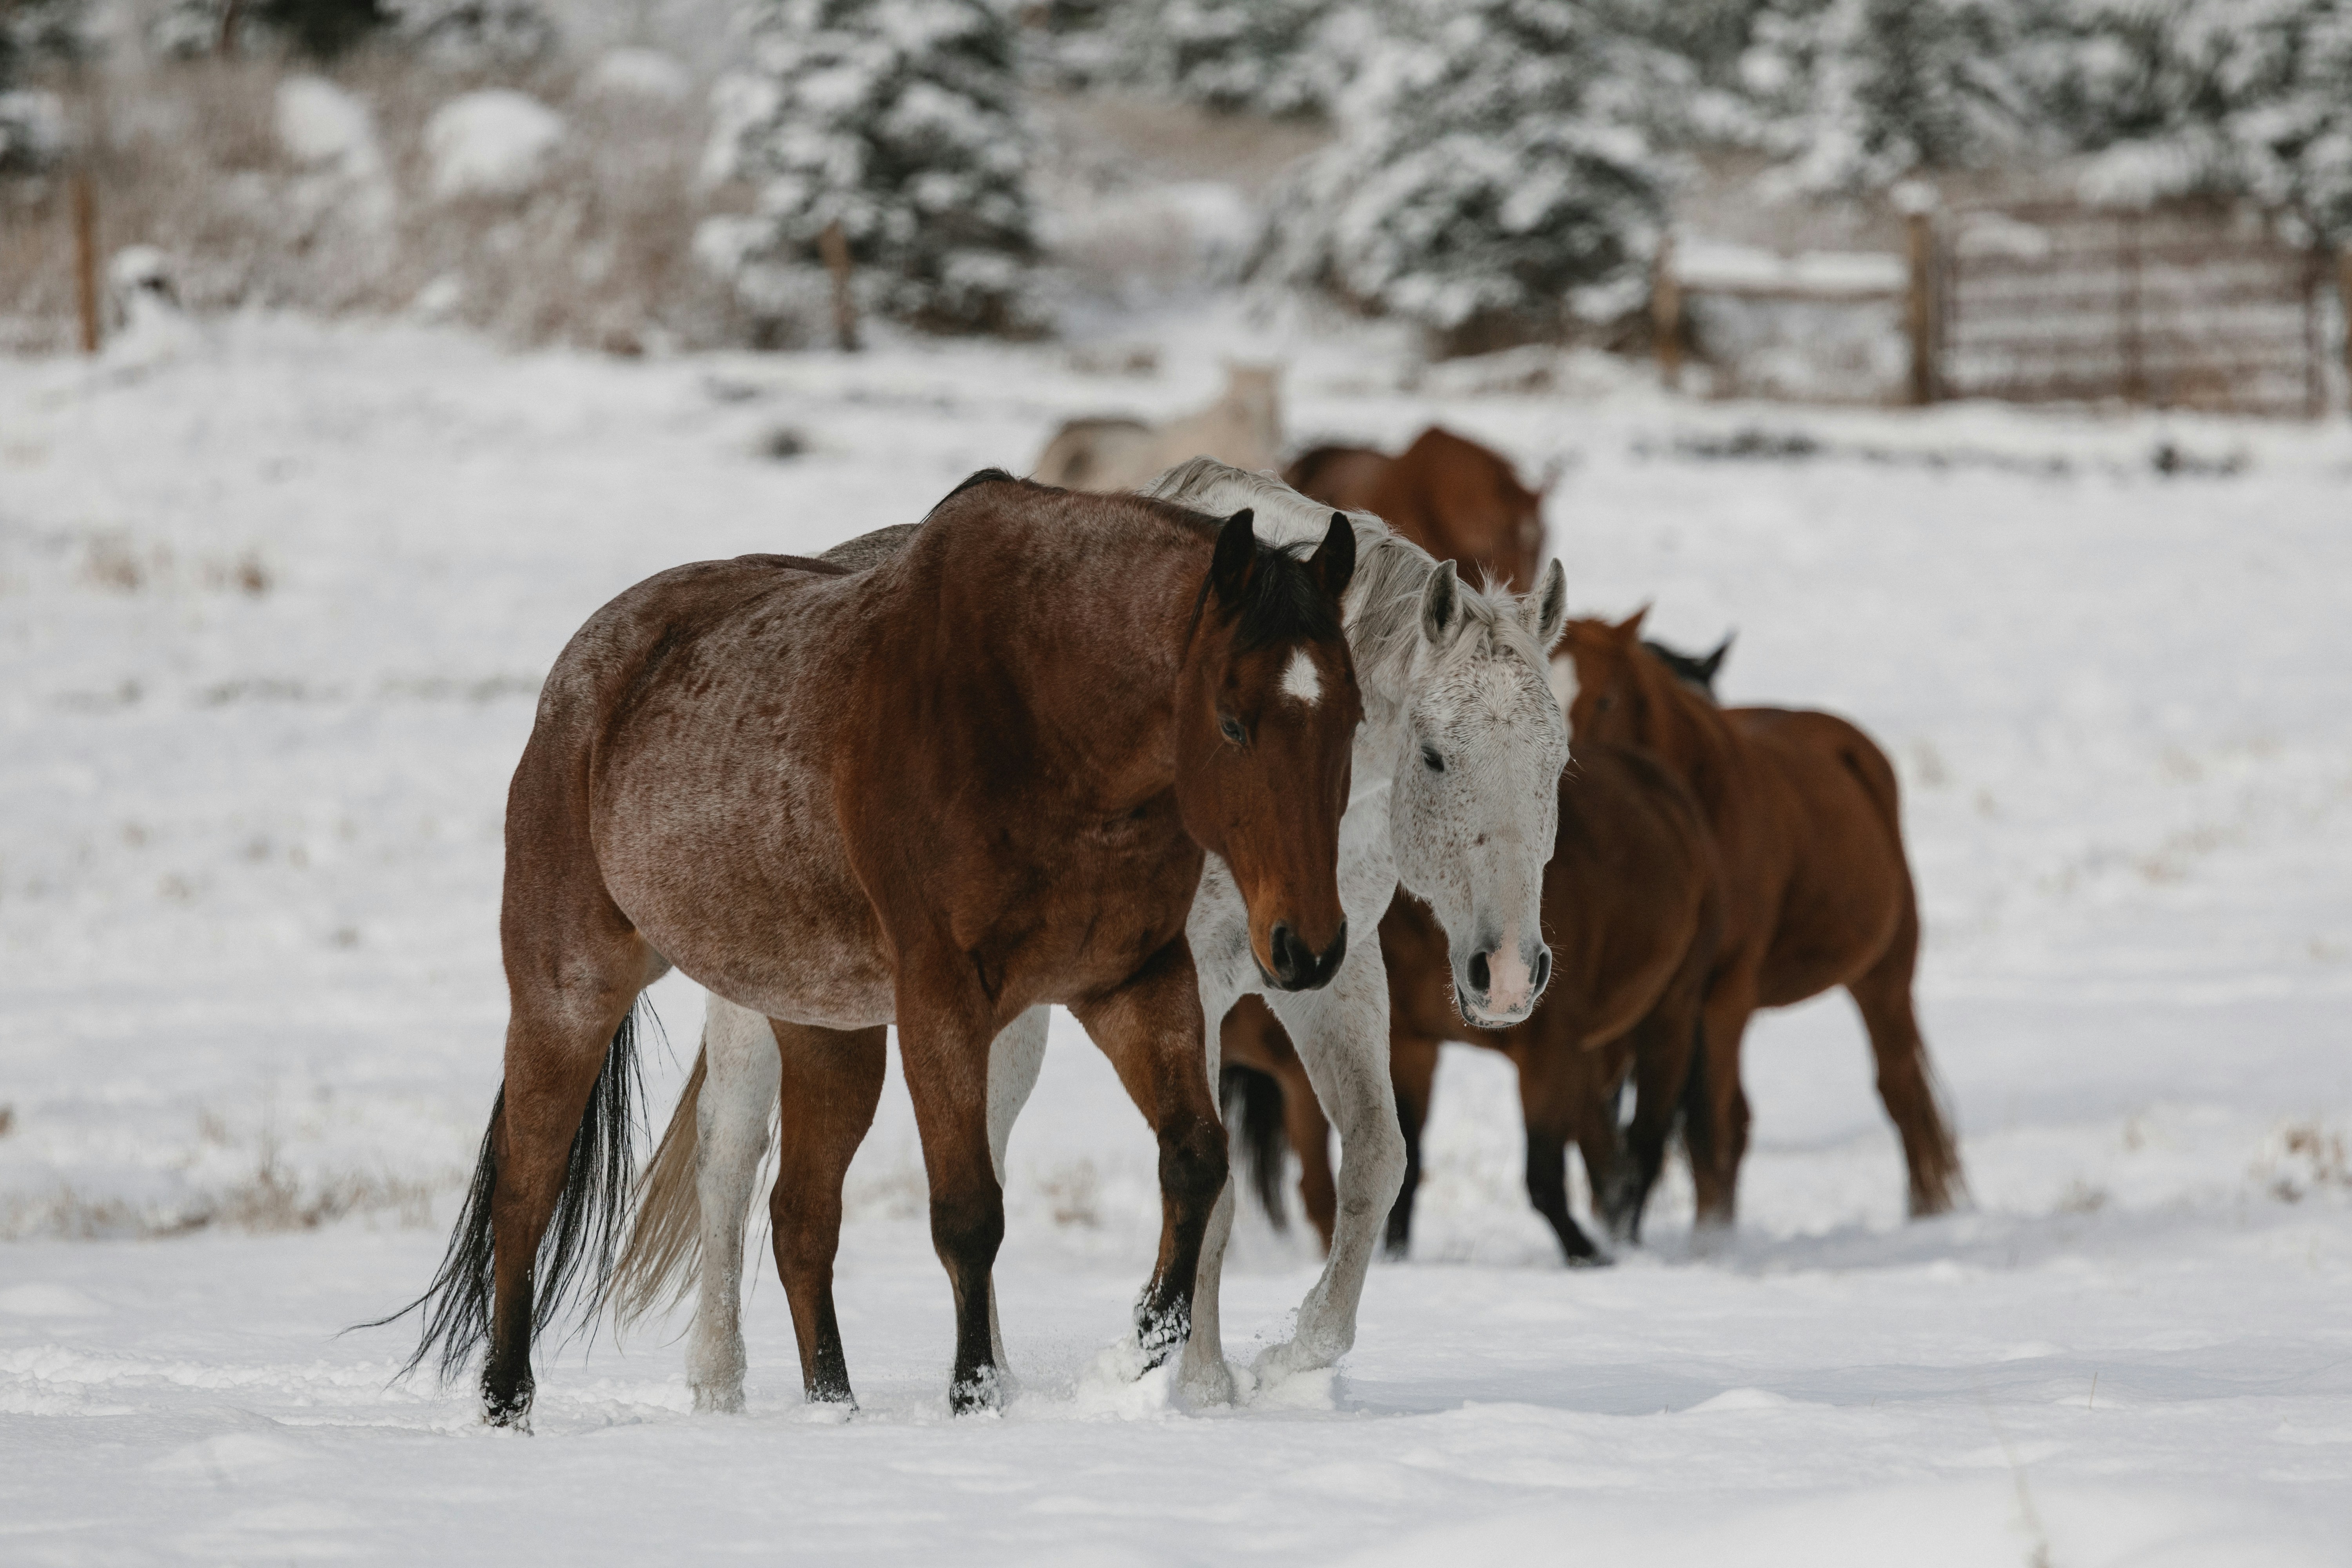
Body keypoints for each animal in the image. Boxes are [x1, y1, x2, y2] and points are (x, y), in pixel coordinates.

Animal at [371, 471, 1367, 1424]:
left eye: (1352, 718)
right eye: (1232, 719)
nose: (1307, 947)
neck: (1038, 712)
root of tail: (582, 673)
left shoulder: (1133, 980)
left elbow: (1195, 1159)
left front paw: (1144, 1345)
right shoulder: (945, 998)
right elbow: (969, 1213)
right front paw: (975, 1394)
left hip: (825, 1027)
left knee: (800, 1216)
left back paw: (834, 1408)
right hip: (569, 989)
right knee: (527, 1192)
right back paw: (506, 1403)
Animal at [621, 459, 1572, 1409]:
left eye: (1559, 760)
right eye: (1436, 755)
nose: (1508, 974)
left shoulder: (1331, 971)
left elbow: (1377, 1159)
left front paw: (1297, 1352)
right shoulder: (1197, 983)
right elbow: (1219, 1195)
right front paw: (1201, 1387)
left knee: (984, 1152)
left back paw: (995, 1379)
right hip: (771, 998)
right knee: (727, 1153)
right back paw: (719, 1386)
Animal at [1224, 738, 1721, 1266]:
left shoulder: (1548, 1049)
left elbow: (1543, 1175)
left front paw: (1590, 1256)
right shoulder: (1413, 1046)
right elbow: (1410, 1167)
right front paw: (1395, 1259)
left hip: (1670, 1018)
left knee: (1645, 1144)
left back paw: (1623, 1241)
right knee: (1609, 1150)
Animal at [1556, 611, 1966, 1227]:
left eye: (1605, 699)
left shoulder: (1723, 992)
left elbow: (1710, 1128)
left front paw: (1709, 1237)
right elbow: (1614, 1130)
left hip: (1883, 976)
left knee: (1901, 1093)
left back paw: (1927, 1214)